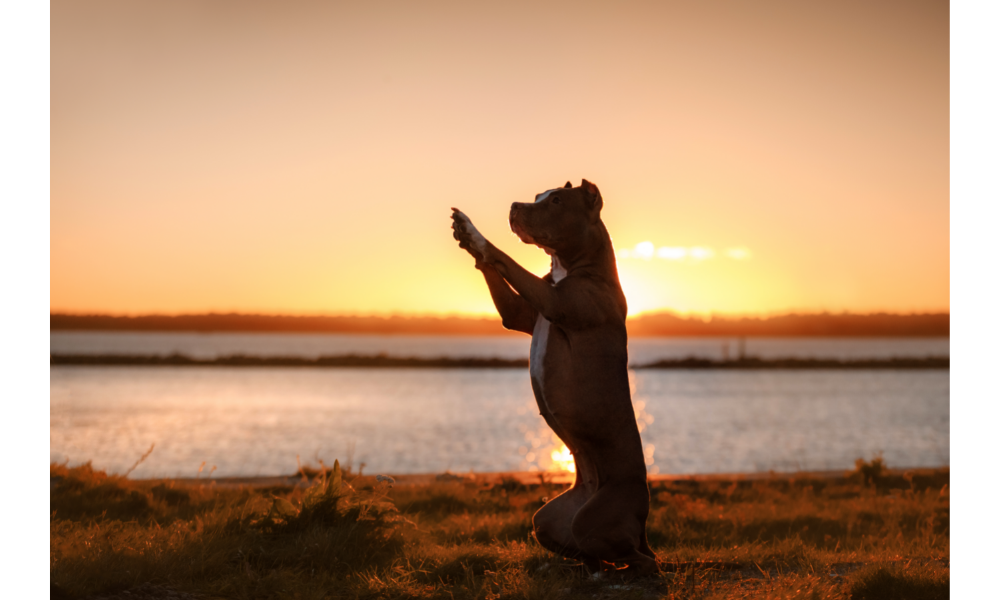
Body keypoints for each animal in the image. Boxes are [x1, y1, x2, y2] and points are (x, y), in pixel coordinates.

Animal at [452, 179, 656, 576]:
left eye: (557, 201)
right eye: (537, 197)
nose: (515, 206)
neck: (572, 267)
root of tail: (642, 522)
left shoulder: (555, 301)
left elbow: (507, 260)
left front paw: (475, 234)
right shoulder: (519, 314)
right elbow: (499, 276)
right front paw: (466, 239)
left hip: (598, 517)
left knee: (638, 558)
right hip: (548, 520)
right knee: (586, 547)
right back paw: (586, 569)